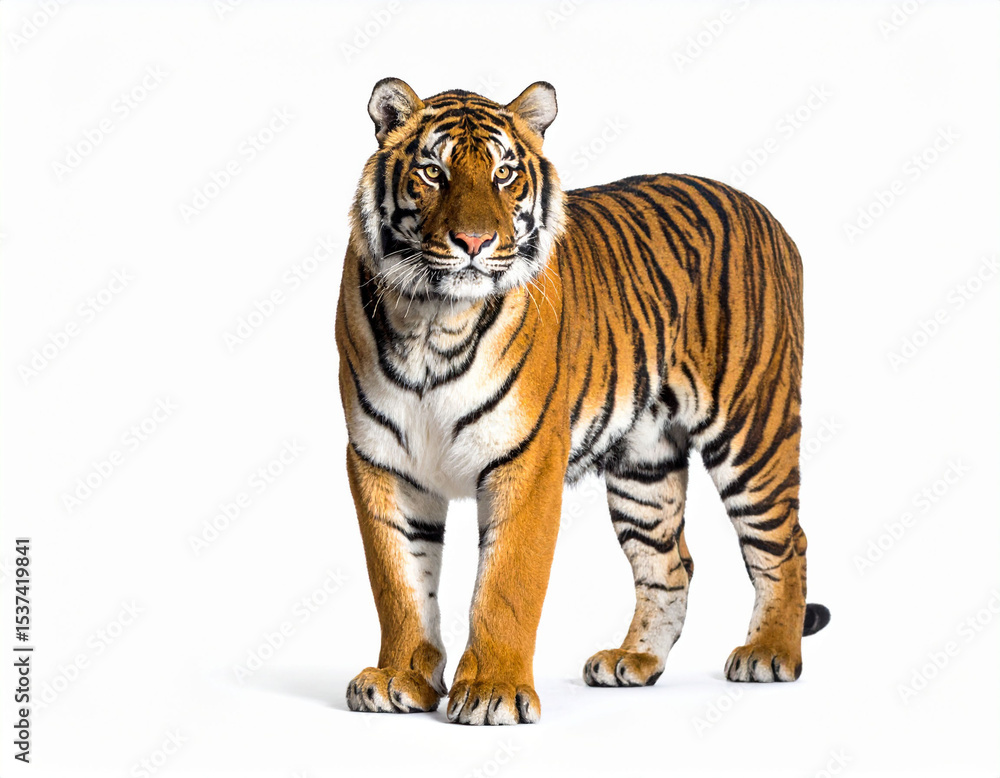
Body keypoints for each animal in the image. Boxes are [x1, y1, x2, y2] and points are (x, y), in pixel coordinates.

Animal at [335, 77, 830, 726]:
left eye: (503, 173)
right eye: (433, 172)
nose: (474, 242)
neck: (434, 322)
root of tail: (764, 211)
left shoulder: (527, 459)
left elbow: (506, 584)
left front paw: (493, 690)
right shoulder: (380, 460)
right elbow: (399, 582)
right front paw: (401, 678)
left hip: (753, 429)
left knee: (786, 543)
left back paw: (769, 652)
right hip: (645, 464)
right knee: (671, 564)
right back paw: (634, 660)